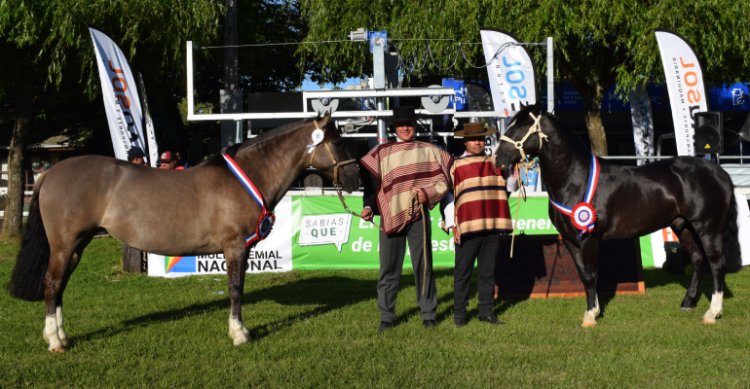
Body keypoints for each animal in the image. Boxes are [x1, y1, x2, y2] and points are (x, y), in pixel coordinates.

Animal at [5, 113, 358, 352]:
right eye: (339, 142)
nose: (355, 178)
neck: (245, 178)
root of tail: (49, 173)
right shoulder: (235, 247)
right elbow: (236, 289)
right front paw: (240, 333)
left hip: (78, 244)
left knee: (60, 285)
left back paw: (62, 336)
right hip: (64, 245)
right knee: (52, 284)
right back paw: (55, 341)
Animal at [496, 104, 744, 326]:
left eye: (522, 126)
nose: (498, 159)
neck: (575, 178)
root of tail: (719, 171)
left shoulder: (589, 238)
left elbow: (591, 274)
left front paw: (591, 316)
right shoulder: (569, 239)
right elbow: (583, 275)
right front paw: (591, 312)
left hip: (707, 227)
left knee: (716, 264)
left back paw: (712, 313)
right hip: (682, 225)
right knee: (697, 259)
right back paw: (688, 303)